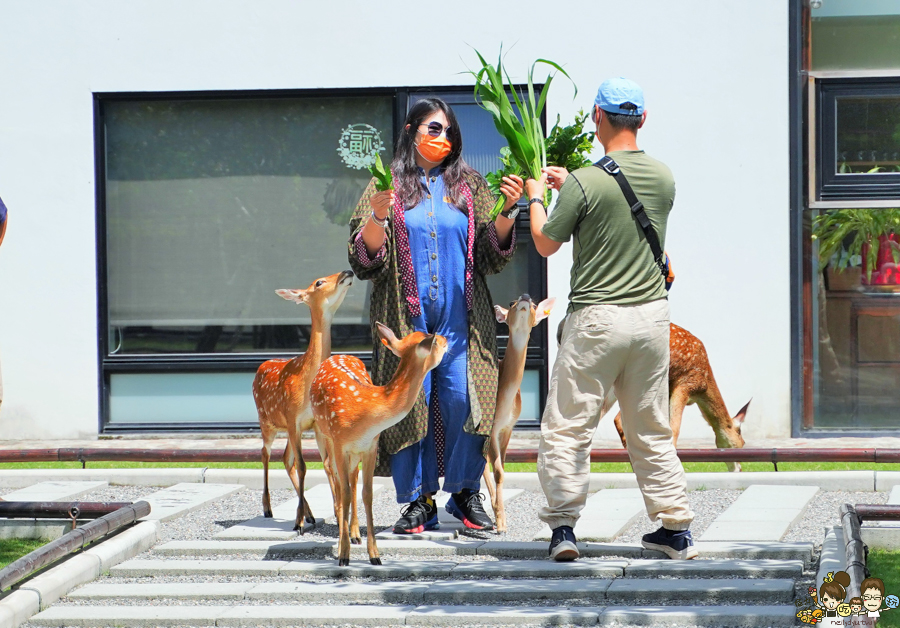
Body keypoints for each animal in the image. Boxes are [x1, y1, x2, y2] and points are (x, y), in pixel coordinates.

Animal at [253, 270, 356, 528]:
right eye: (319, 282)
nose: (347, 271)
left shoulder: (316, 424)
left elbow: (328, 465)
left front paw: (338, 514)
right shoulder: (293, 418)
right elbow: (303, 466)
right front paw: (298, 523)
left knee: (285, 458)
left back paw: (309, 513)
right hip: (266, 420)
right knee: (265, 453)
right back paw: (268, 508)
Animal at [312, 324, 448, 564]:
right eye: (437, 343)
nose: (447, 340)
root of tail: (338, 354)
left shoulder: (371, 445)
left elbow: (367, 494)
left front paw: (374, 555)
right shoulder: (339, 442)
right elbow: (344, 492)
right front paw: (344, 555)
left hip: (353, 452)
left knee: (351, 478)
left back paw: (355, 533)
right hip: (323, 434)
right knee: (334, 476)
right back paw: (342, 534)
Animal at [482, 294, 552, 528]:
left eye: (534, 305)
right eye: (512, 303)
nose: (525, 297)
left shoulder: (508, 427)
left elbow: (501, 469)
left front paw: (500, 516)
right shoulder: (492, 427)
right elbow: (497, 471)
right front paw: (501, 523)